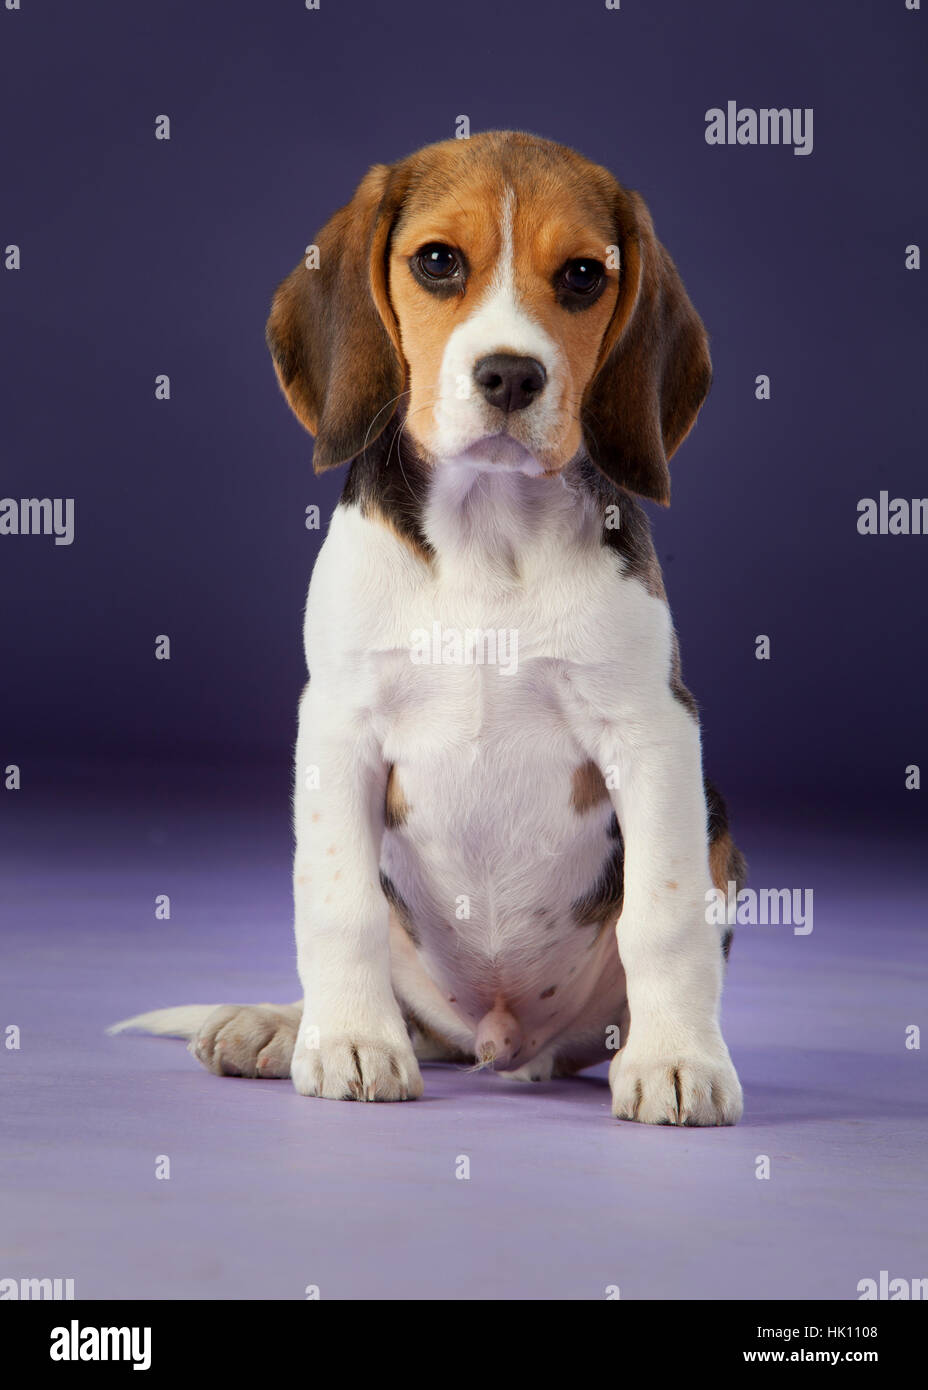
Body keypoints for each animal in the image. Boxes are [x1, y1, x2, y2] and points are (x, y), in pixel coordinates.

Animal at [113, 130, 744, 1123]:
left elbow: (665, 914)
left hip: (718, 830)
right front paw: (349, 1043)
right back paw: (283, 1026)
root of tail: (500, 1037)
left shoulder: (656, 732)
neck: (490, 531)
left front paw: (678, 1060)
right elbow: (339, 907)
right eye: (438, 262)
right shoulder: (338, 725)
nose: (512, 374)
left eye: (582, 276)